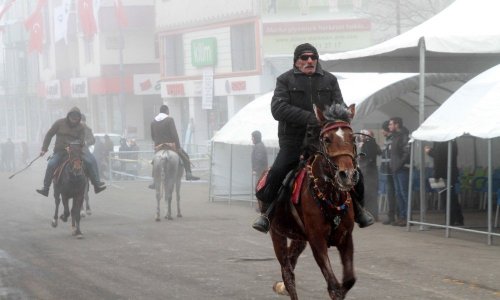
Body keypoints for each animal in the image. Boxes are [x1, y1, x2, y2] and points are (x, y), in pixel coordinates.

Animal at [266, 103, 360, 300]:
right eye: (326, 139)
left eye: (353, 137)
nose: (347, 175)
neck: (330, 195)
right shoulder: (317, 240)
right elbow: (334, 286)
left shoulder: (346, 238)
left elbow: (348, 281)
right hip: (276, 233)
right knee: (287, 272)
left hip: (299, 238)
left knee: (290, 263)